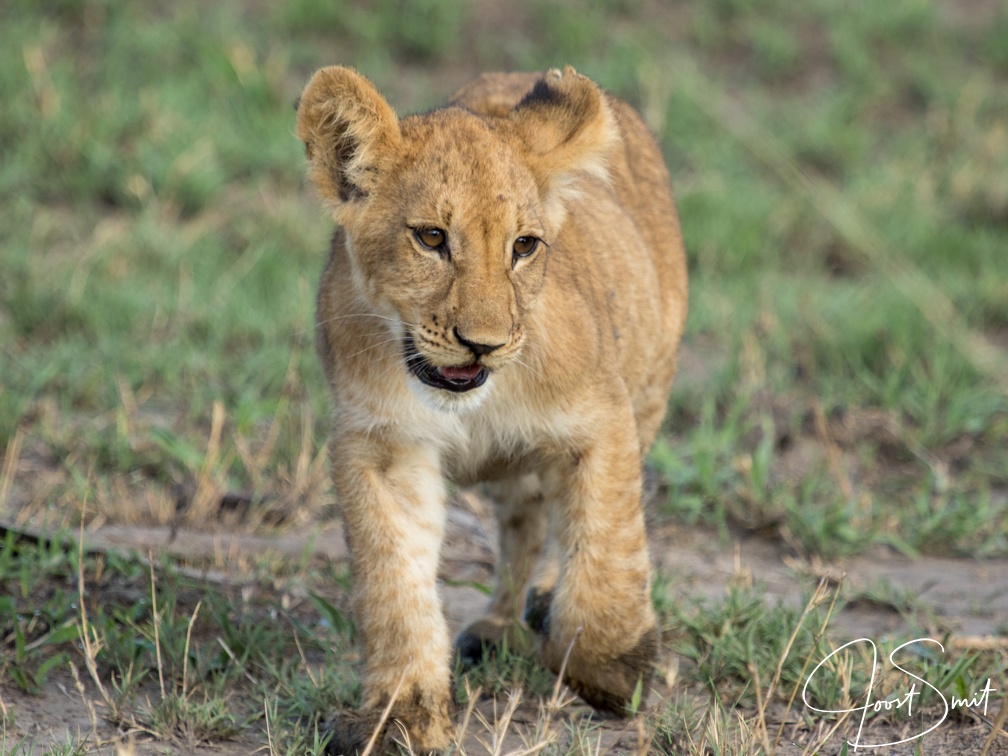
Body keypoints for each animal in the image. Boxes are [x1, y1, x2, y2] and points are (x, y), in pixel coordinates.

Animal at [296, 65, 687, 753]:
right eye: (431, 238)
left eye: (524, 246)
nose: (484, 343)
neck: (468, 402)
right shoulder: (381, 445)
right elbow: (392, 580)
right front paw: (403, 716)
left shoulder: (602, 418)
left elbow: (607, 538)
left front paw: (614, 671)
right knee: (522, 525)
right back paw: (500, 626)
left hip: (649, 384)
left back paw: (544, 607)